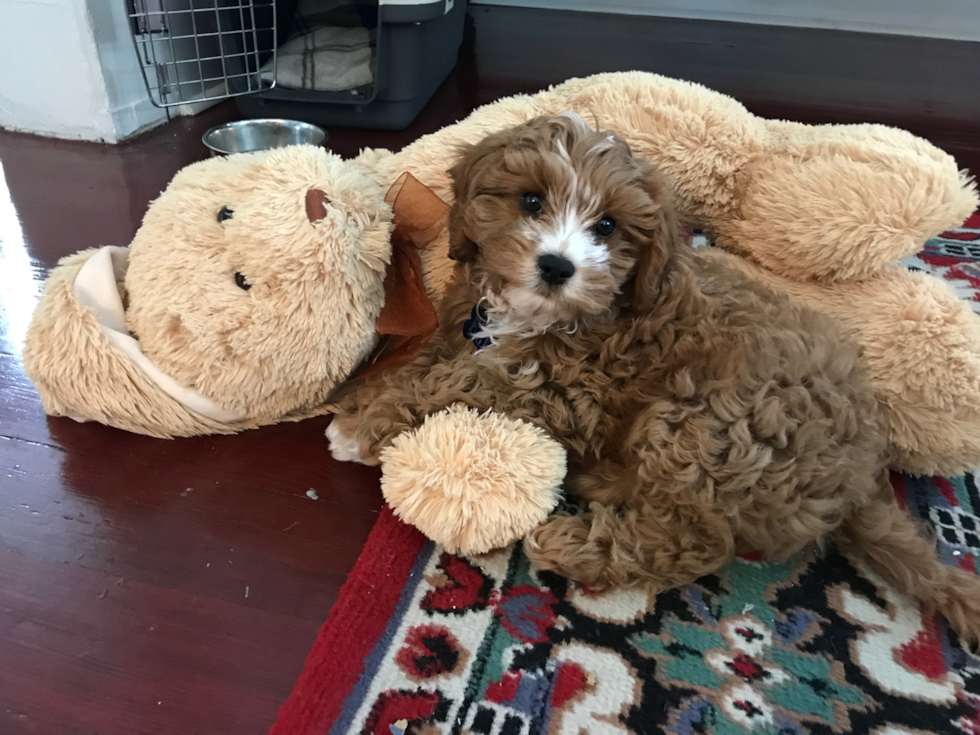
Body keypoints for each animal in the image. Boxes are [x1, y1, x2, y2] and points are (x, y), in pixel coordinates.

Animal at [332, 112, 980, 648]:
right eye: (530, 200)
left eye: (608, 226)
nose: (557, 266)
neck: (542, 314)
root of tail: (861, 474)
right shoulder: (465, 330)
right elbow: (434, 361)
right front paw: (366, 395)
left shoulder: (566, 390)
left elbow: (463, 381)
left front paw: (360, 425)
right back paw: (603, 482)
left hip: (713, 420)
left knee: (691, 539)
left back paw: (574, 542)